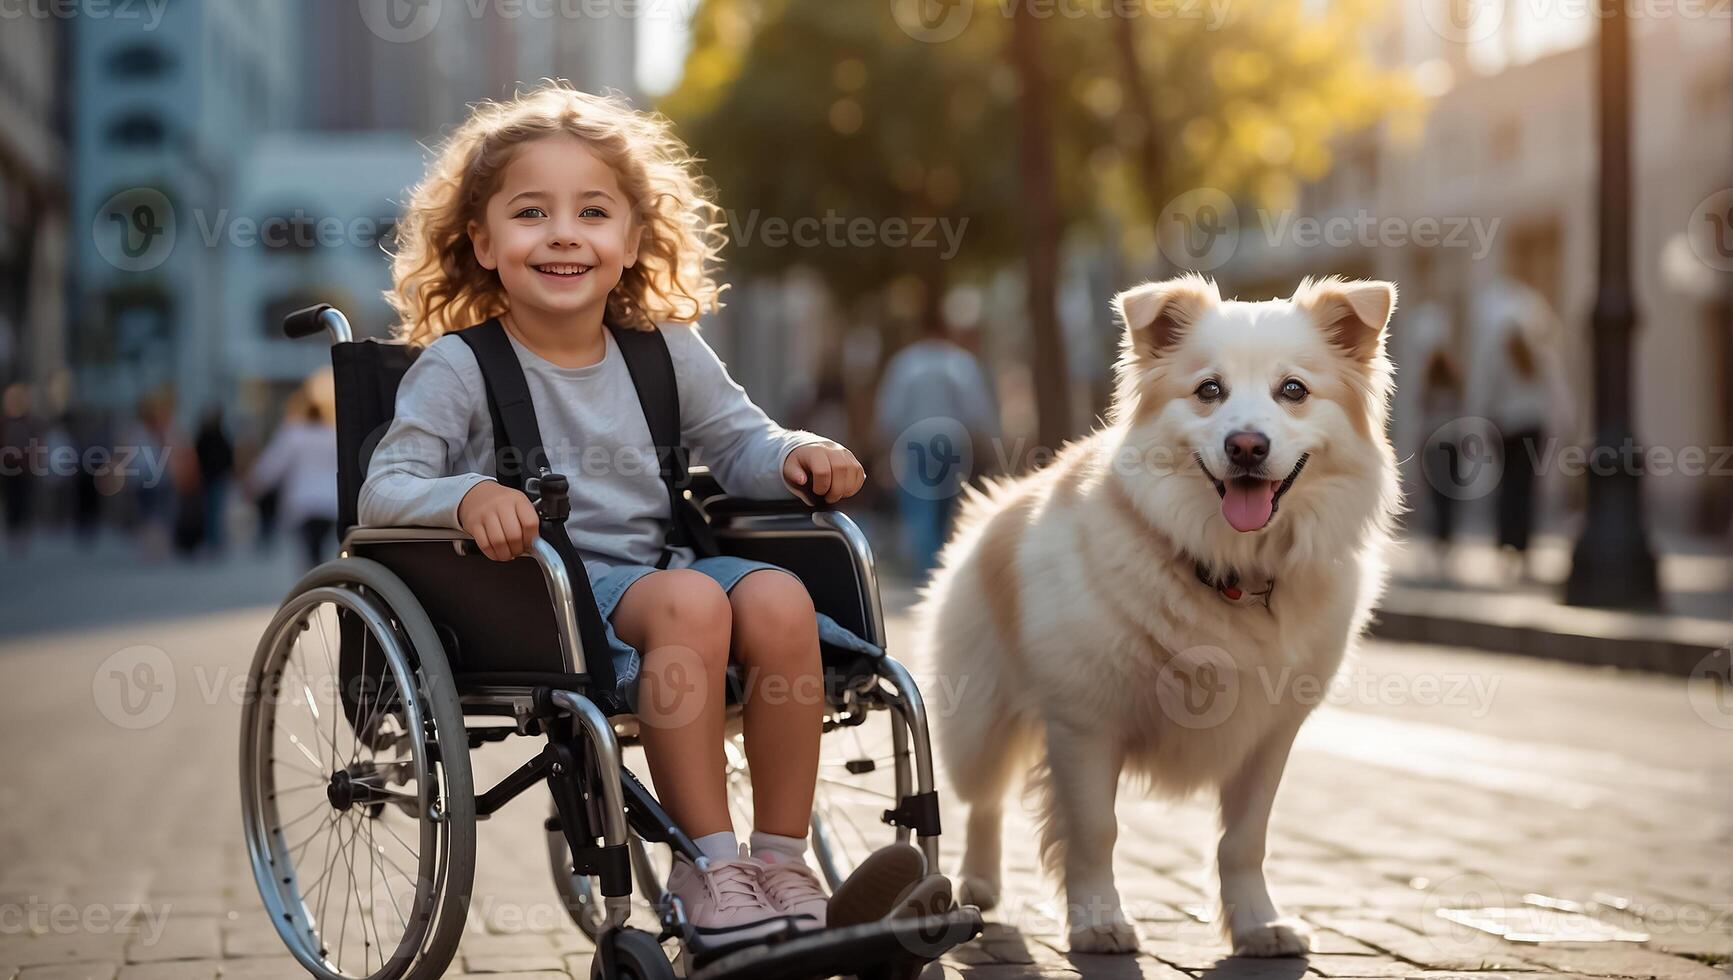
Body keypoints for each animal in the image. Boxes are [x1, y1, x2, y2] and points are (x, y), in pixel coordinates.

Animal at [915, 275, 1400, 957]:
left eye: (1294, 390)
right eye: (1209, 391)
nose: (1245, 446)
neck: (1232, 570)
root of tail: (997, 504)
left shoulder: (1271, 735)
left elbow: (1244, 840)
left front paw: (1257, 924)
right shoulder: (1084, 723)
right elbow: (1095, 830)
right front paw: (1098, 922)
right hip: (979, 722)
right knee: (982, 800)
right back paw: (979, 884)